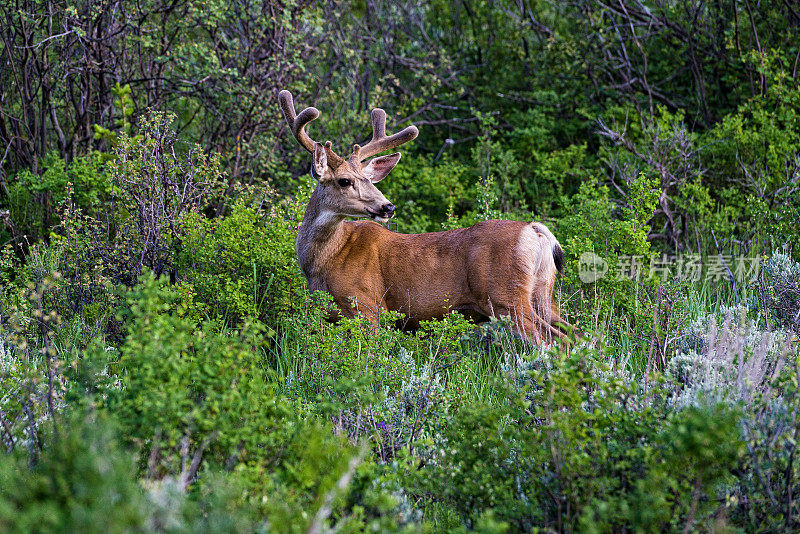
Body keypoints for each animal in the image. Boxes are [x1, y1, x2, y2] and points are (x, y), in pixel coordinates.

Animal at [278, 90, 572, 346]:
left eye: (367, 180)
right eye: (345, 180)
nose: (387, 207)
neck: (323, 262)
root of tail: (535, 230)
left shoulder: (366, 305)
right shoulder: (329, 314)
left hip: (505, 296)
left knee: (556, 342)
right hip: (542, 295)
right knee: (575, 333)